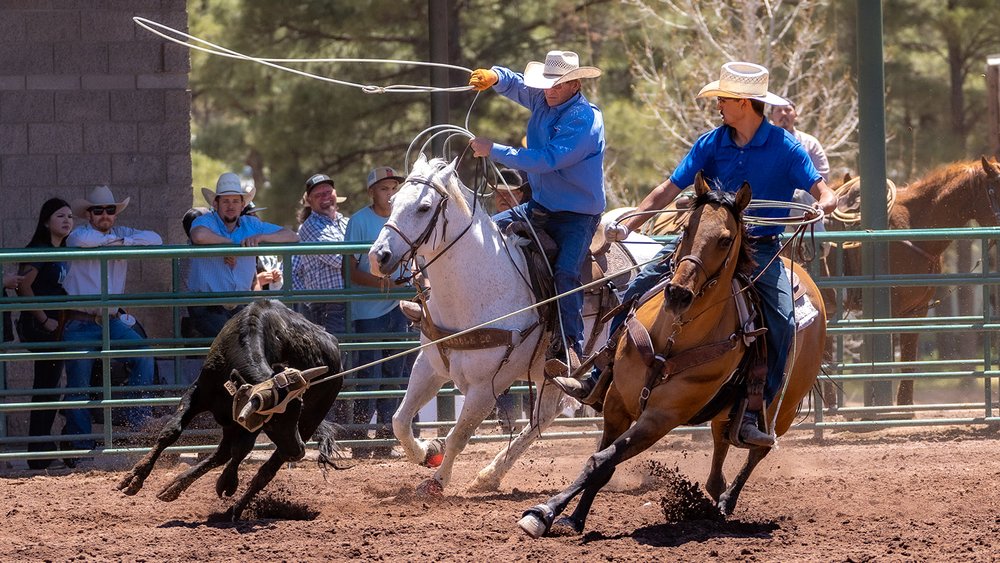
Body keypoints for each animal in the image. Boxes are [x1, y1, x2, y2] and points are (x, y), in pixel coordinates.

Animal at [520, 173, 824, 536]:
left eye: (725, 240)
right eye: (687, 228)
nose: (678, 294)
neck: (673, 337)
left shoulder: (661, 418)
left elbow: (601, 460)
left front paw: (544, 512)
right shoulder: (617, 403)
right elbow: (603, 463)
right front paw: (574, 517)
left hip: (784, 408)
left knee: (757, 450)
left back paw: (727, 500)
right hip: (727, 408)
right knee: (722, 440)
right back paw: (716, 491)